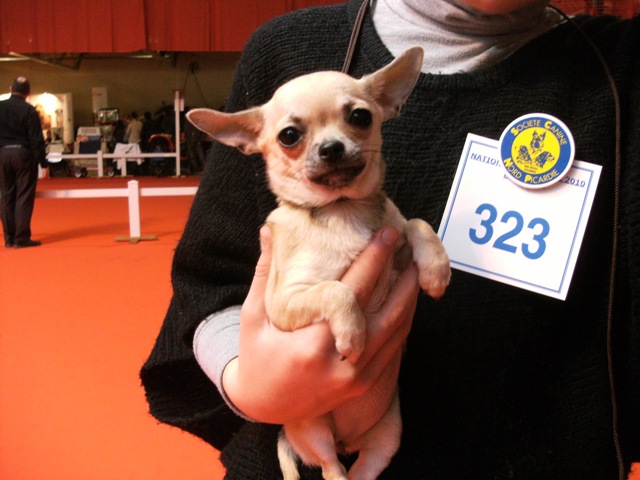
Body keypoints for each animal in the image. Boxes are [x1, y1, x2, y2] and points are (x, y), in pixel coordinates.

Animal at [187, 46, 450, 480]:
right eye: (289, 136)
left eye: (360, 117)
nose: (331, 148)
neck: (342, 211)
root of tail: (347, 441)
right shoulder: (286, 302)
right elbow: (337, 289)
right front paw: (353, 334)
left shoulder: (393, 239)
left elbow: (415, 223)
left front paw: (436, 268)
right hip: (315, 430)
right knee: (330, 470)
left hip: (386, 439)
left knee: (361, 472)